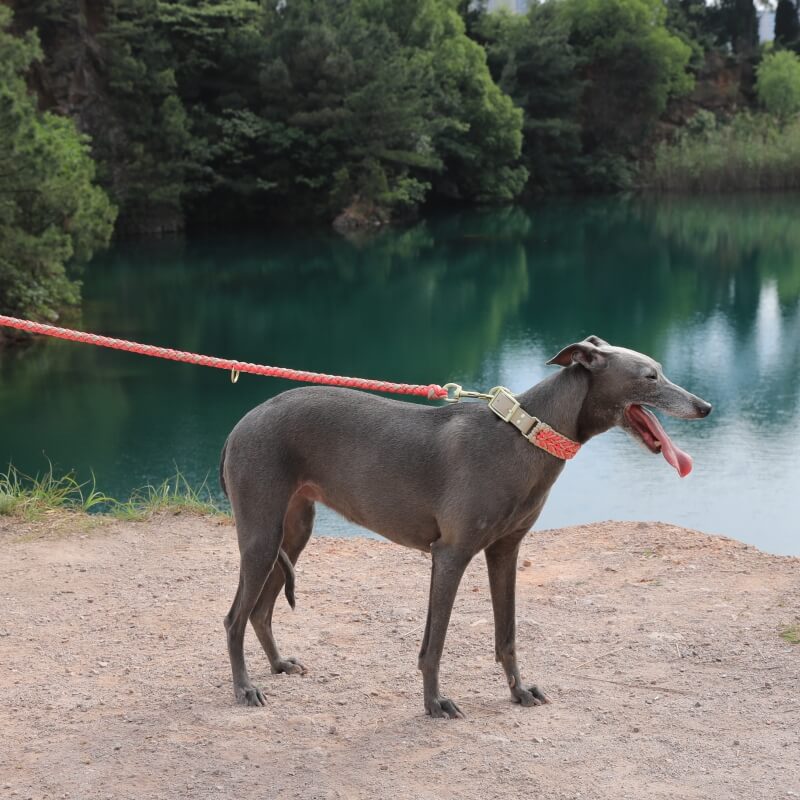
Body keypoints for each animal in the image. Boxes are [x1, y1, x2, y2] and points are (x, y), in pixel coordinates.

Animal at [219, 334, 712, 716]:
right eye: (650, 376)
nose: (705, 406)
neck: (525, 433)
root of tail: (240, 425)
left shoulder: (505, 551)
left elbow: (507, 635)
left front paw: (519, 691)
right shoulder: (451, 554)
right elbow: (434, 644)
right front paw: (434, 703)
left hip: (292, 531)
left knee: (260, 611)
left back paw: (279, 665)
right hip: (261, 536)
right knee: (234, 618)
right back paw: (244, 688)